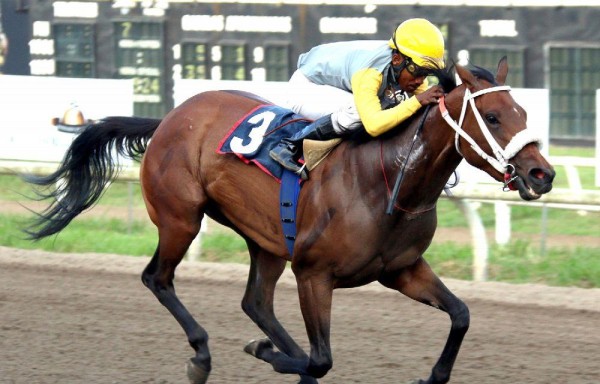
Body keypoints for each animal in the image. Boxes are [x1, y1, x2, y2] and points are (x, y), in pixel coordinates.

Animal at [27, 57, 552, 384]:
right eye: (492, 116)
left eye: (522, 111)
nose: (542, 174)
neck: (387, 180)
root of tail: (170, 118)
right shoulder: (314, 274)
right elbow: (321, 359)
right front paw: (267, 354)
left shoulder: (402, 269)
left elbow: (461, 315)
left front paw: (432, 375)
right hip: (181, 218)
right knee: (158, 277)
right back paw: (203, 355)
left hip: (265, 239)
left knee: (256, 302)